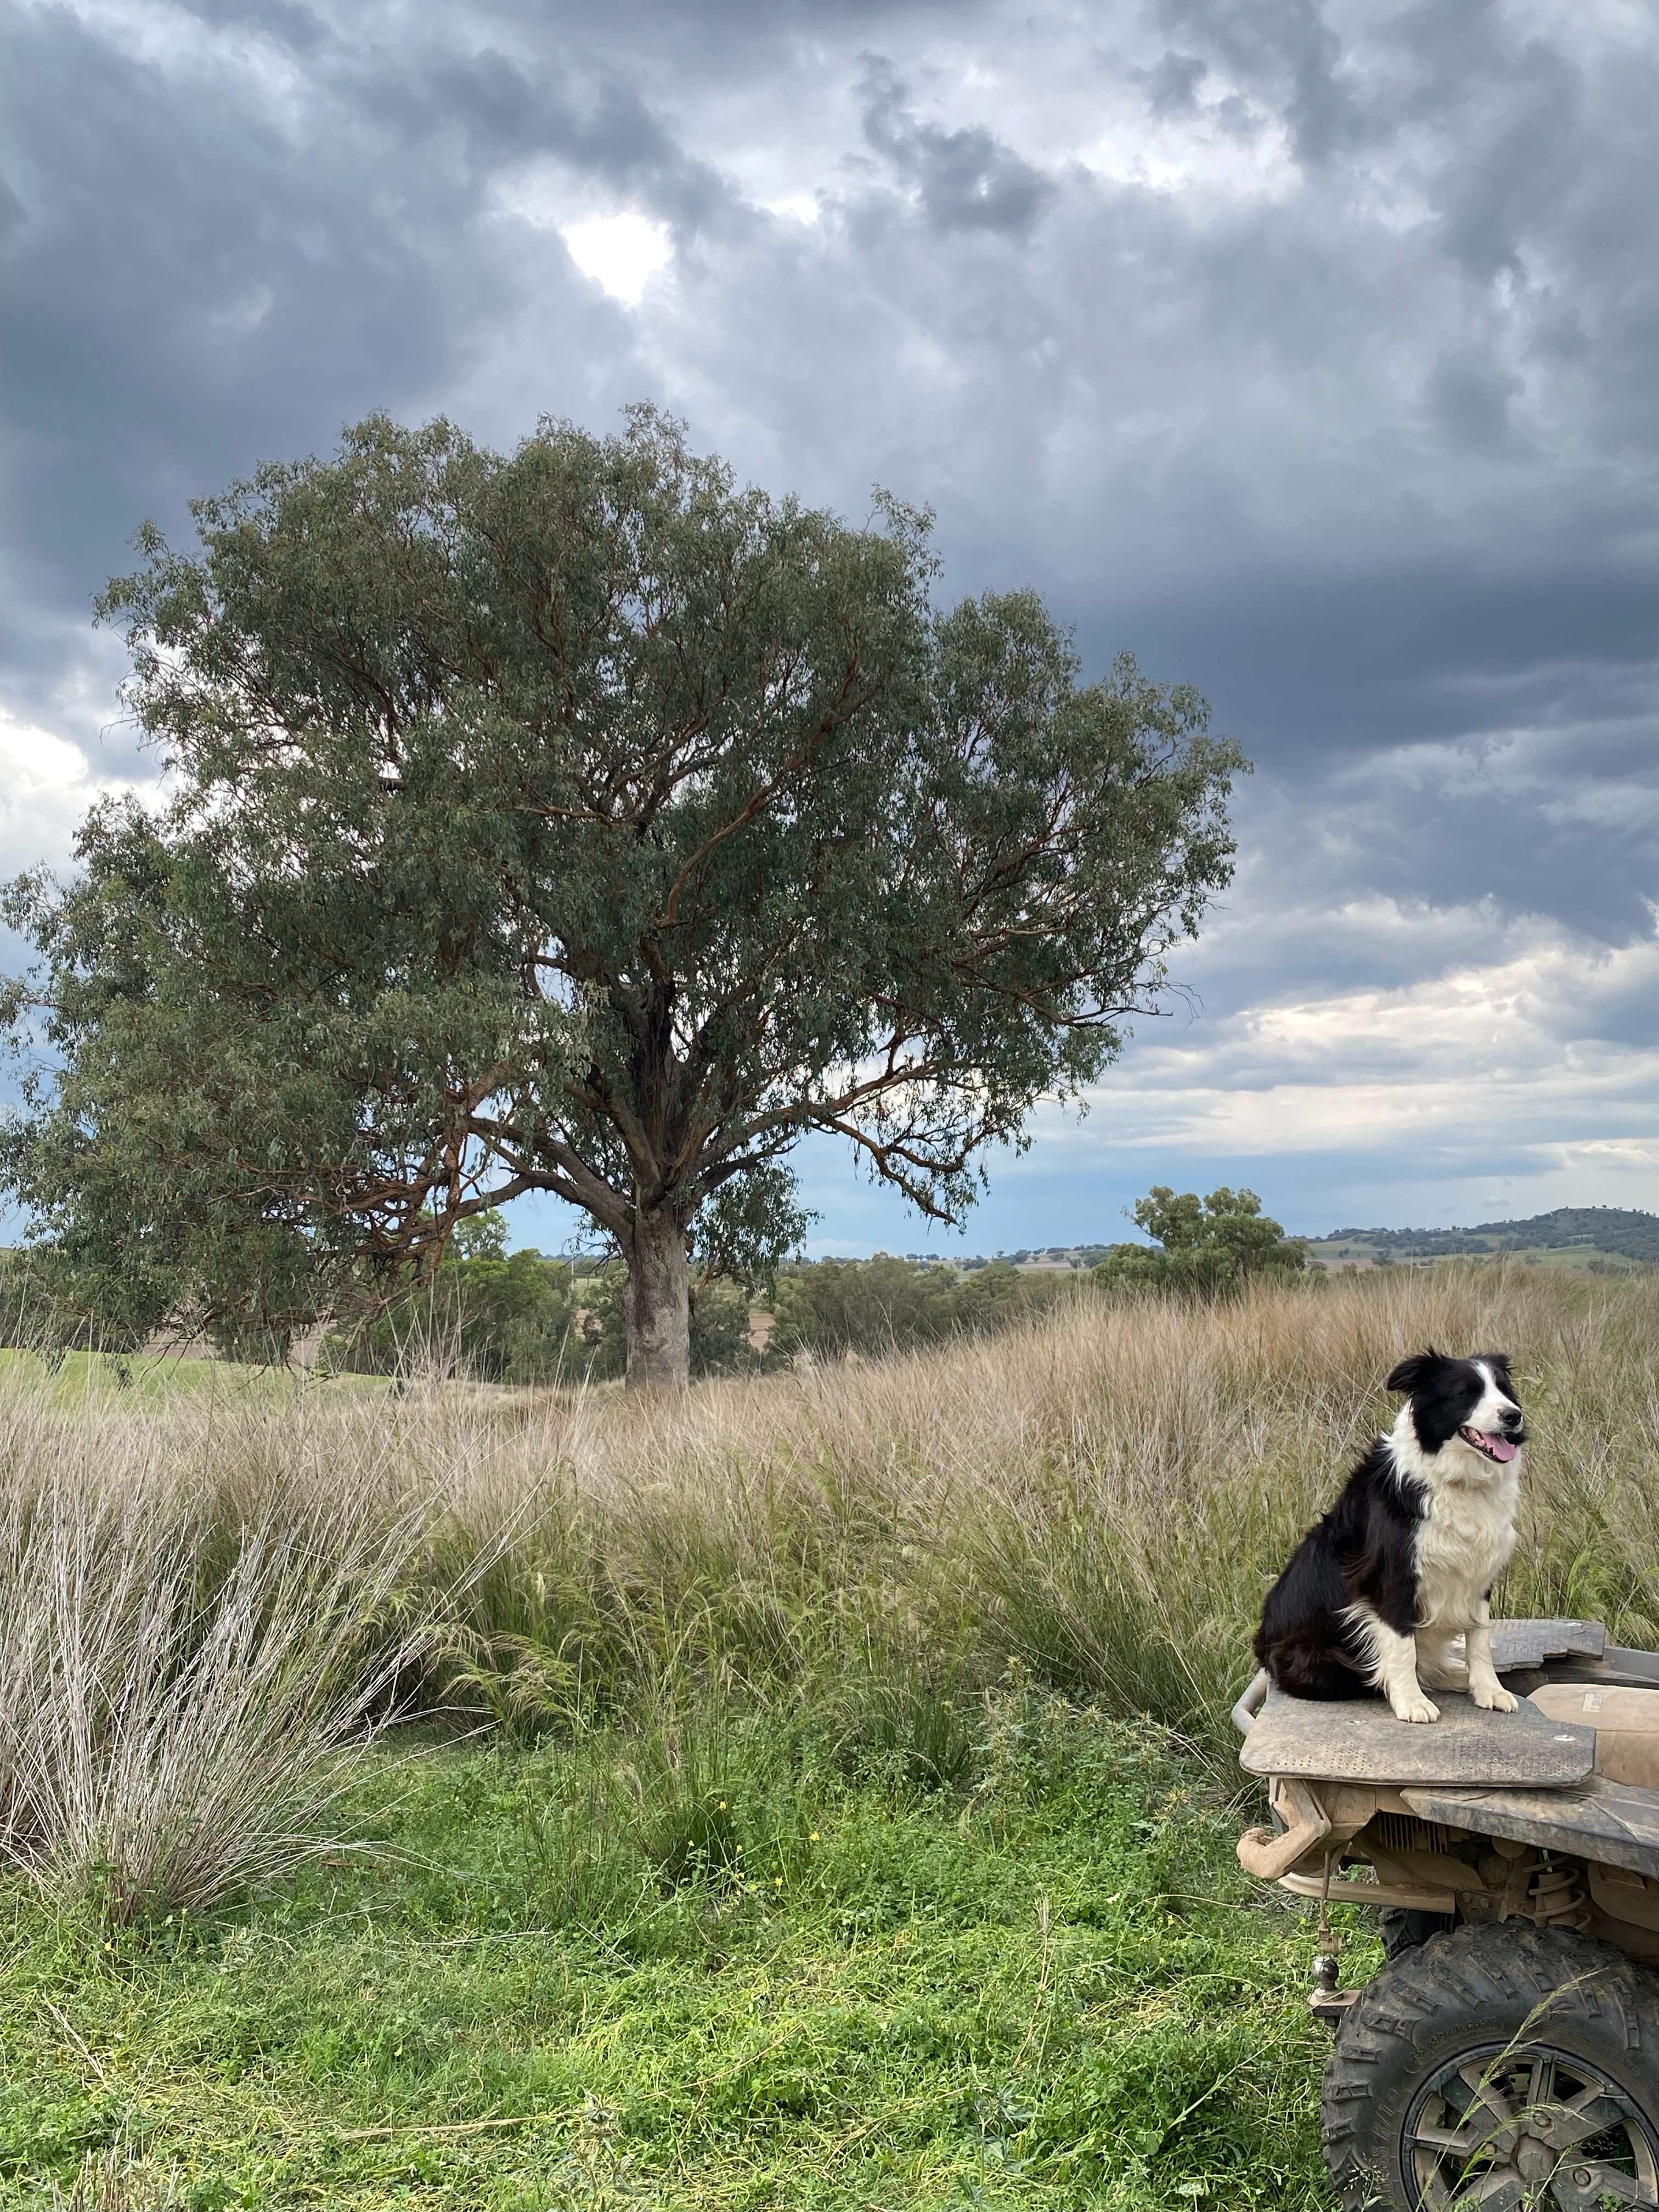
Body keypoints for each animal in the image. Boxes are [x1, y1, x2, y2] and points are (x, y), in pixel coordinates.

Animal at [1256, 1345, 1531, 1725]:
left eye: (1504, 1390)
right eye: (1466, 1393)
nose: (1513, 1416)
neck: (1459, 1481)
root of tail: (1263, 1647)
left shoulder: (1478, 1571)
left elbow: (1480, 1639)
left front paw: (1490, 1690)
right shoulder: (1391, 1576)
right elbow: (1403, 1646)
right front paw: (1411, 1702)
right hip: (1320, 1659)